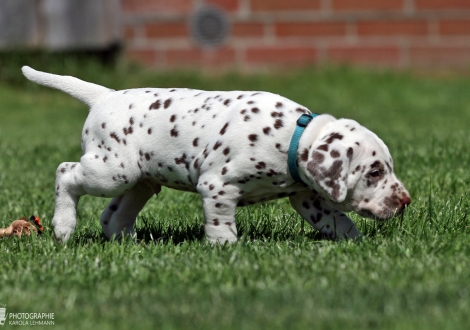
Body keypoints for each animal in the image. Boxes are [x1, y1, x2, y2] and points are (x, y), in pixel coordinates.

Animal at [23, 65, 412, 244]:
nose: (406, 201)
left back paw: (128, 242)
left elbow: (337, 220)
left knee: (114, 215)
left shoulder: (307, 197)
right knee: (65, 172)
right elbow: (221, 220)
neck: (293, 136)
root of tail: (105, 96)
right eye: (374, 172)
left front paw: (354, 241)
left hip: (140, 181)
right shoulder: (218, 186)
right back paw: (63, 226)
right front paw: (225, 246)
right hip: (112, 171)